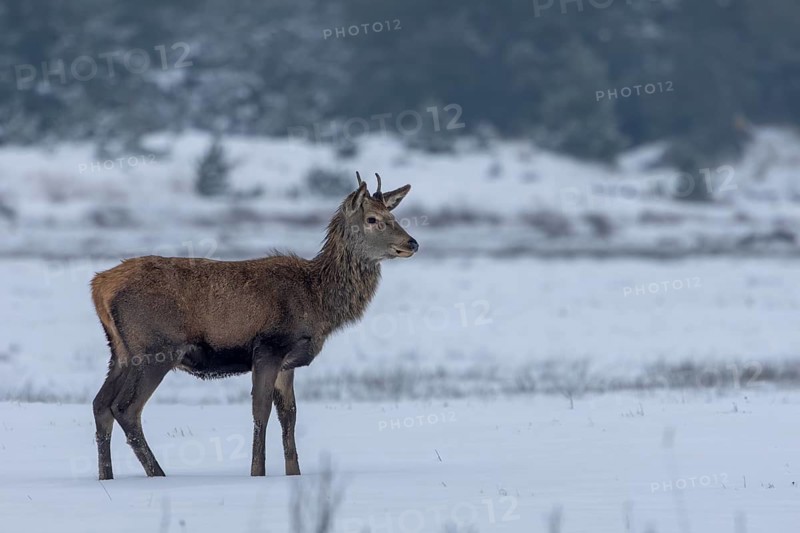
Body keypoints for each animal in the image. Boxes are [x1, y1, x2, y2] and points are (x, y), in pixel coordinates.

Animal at [91, 172, 418, 480]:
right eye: (373, 219)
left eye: (393, 216)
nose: (412, 243)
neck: (318, 301)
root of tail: (99, 286)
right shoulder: (269, 347)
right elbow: (261, 412)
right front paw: (257, 473)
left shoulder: (288, 362)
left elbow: (289, 415)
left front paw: (293, 472)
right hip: (156, 349)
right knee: (125, 408)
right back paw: (157, 474)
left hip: (120, 352)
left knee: (100, 404)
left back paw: (106, 476)